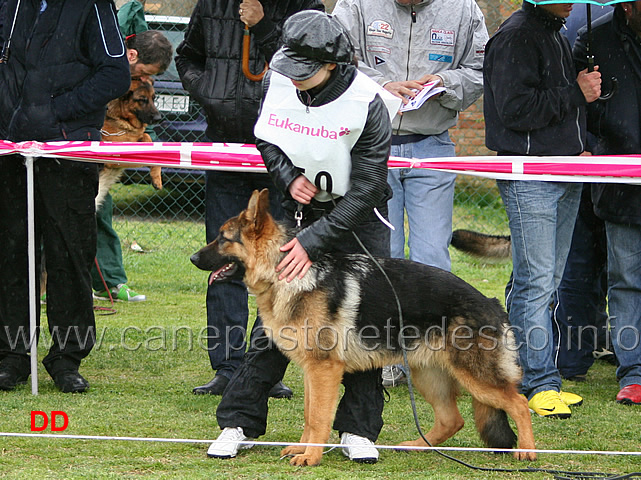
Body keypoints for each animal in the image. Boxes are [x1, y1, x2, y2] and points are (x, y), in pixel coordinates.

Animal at [97, 79, 164, 210]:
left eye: (153, 98)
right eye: (142, 99)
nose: (159, 118)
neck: (122, 118)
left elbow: (147, 137)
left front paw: (157, 178)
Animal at [190, 189, 536, 466]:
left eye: (223, 238)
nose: (193, 258)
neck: (283, 271)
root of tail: (491, 302)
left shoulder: (324, 371)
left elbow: (319, 418)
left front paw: (310, 457)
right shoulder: (313, 372)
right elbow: (309, 415)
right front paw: (303, 449)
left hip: (474, 377)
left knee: (519, 403)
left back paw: (528, 452)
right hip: (428, 374)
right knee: (453, 419)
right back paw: (416, 446)